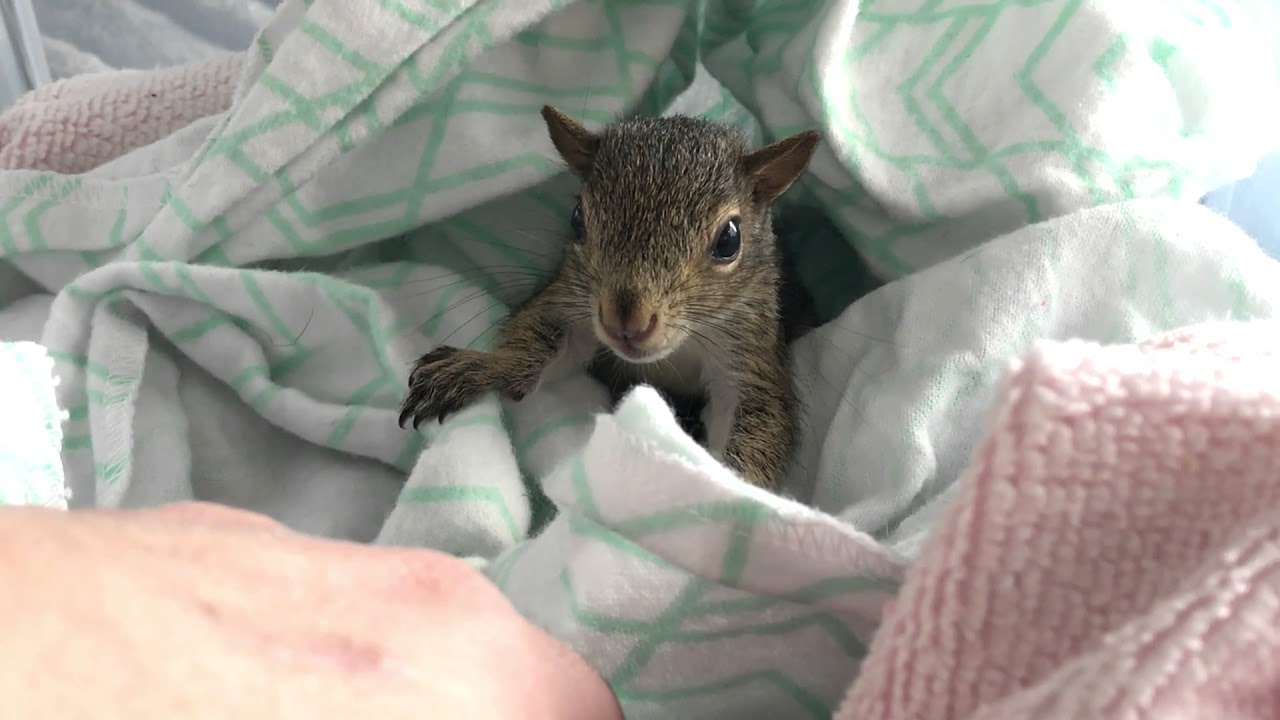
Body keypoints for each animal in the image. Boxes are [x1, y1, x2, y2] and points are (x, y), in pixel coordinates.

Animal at [398, 105, 821, 489]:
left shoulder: (749, 351)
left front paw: (733, 492)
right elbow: (533, 346)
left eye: (729, 240)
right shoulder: (570, 304)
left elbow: (759, 420)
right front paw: (480, 368)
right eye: (576, 219)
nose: (627, 322)